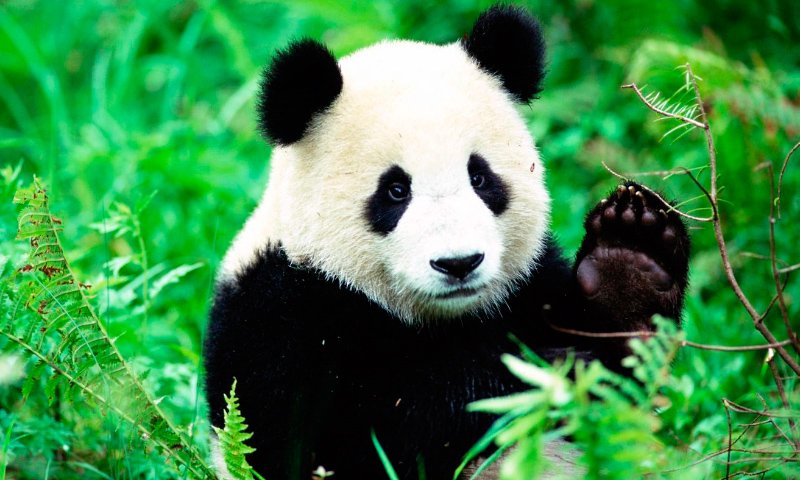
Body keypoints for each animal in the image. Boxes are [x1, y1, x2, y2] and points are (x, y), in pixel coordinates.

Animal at [204, 5, 690, 480]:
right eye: (395, 191)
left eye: (480, 178)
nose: (459, 263)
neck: (440, 319)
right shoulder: (277, 316)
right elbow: (343, 444)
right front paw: (534, 376)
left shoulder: (531, 284)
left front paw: (628, 264)